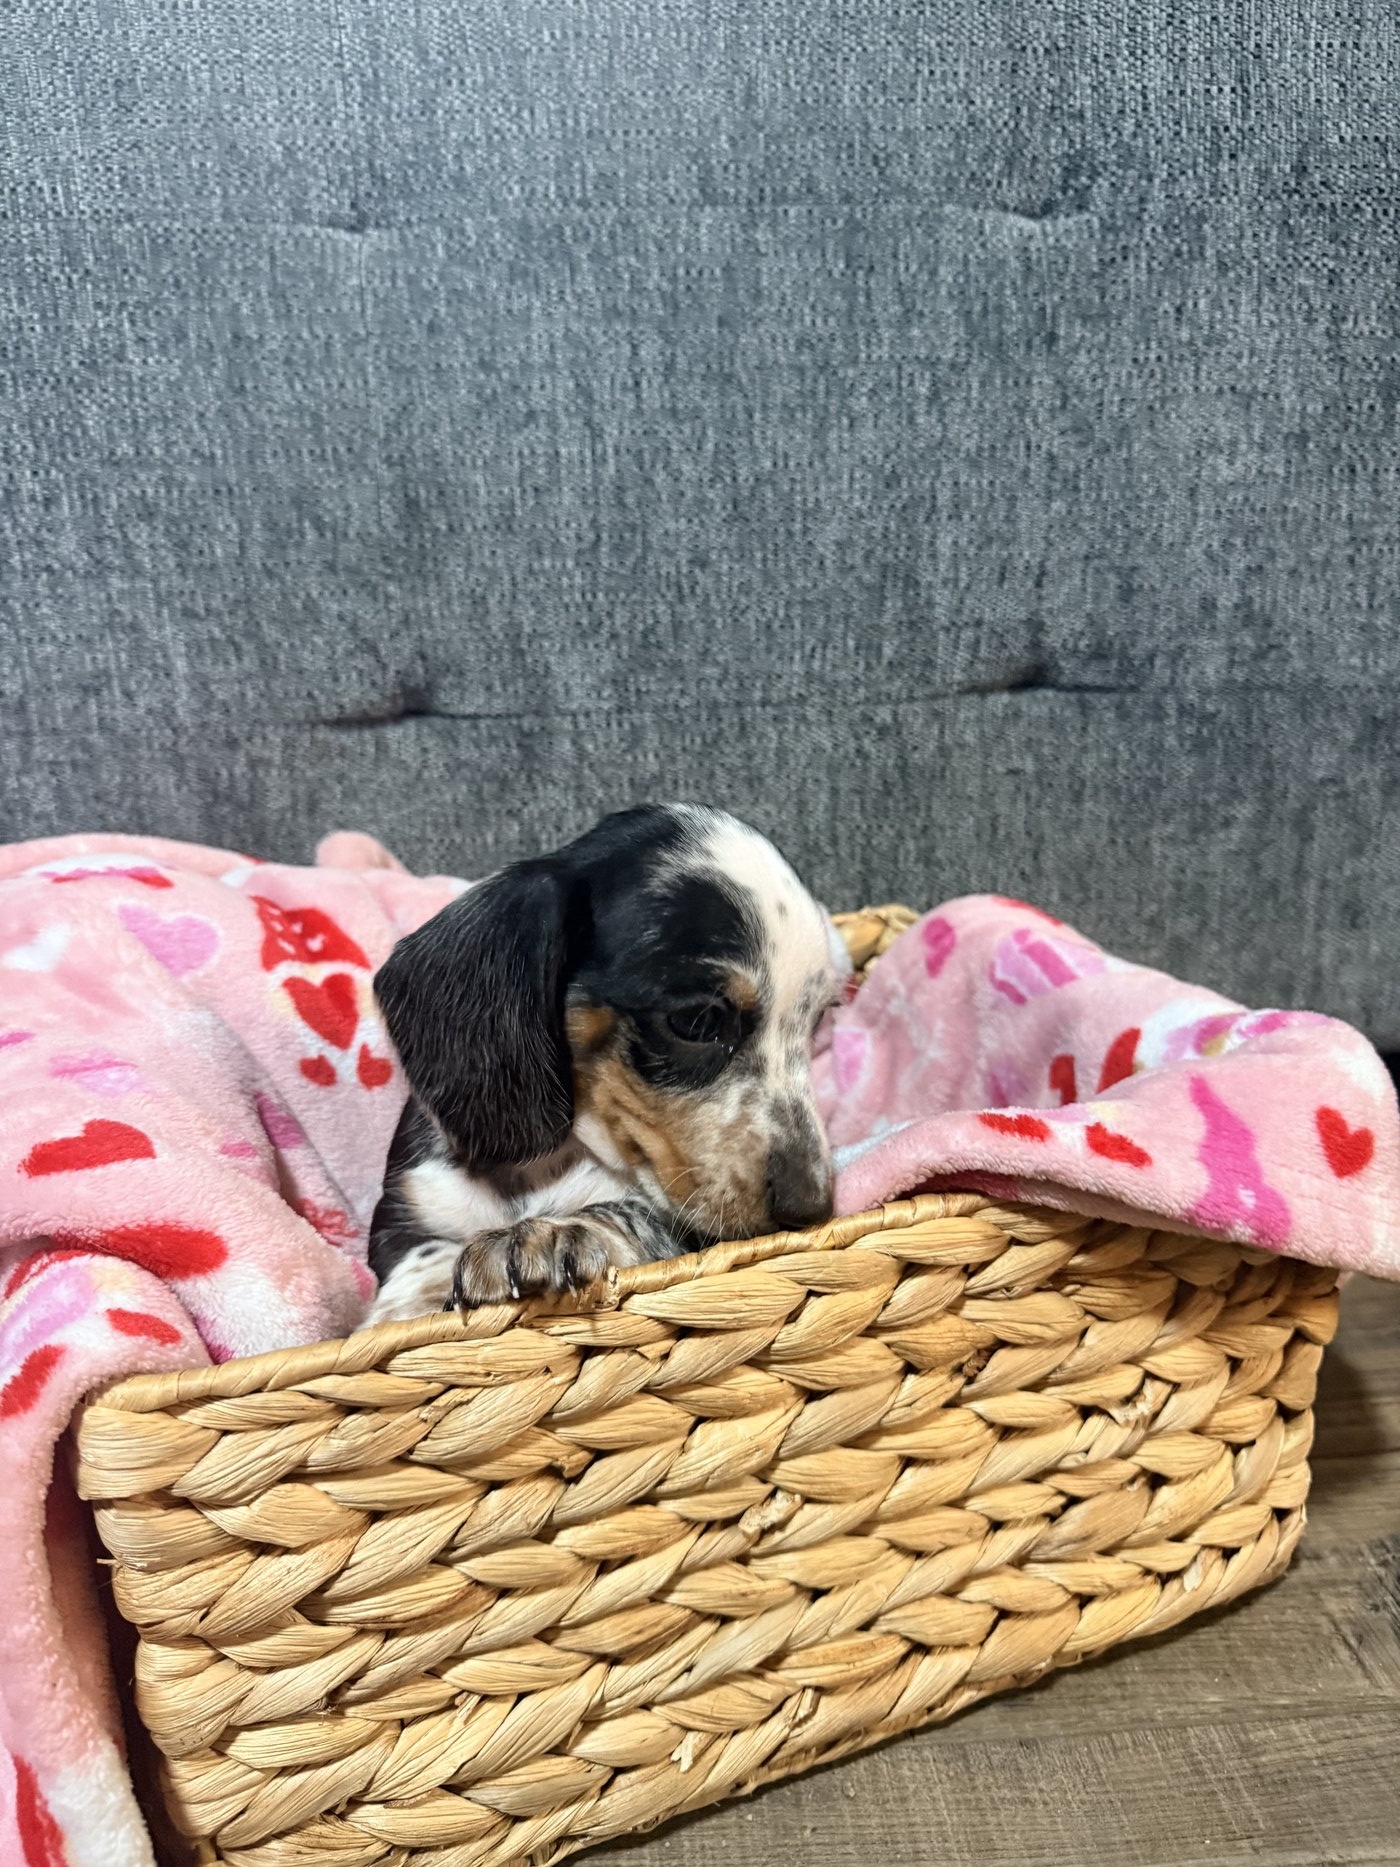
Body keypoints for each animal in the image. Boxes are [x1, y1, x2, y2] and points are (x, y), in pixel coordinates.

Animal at [365, 805, 846, 1319]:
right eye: (696, 1022)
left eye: (816, 1020)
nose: (813, 1209)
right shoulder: (405, 1204)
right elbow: (418, 1251)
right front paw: (416, 1297)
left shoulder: (679, 1227)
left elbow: (631, 1215)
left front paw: (553, 1236)